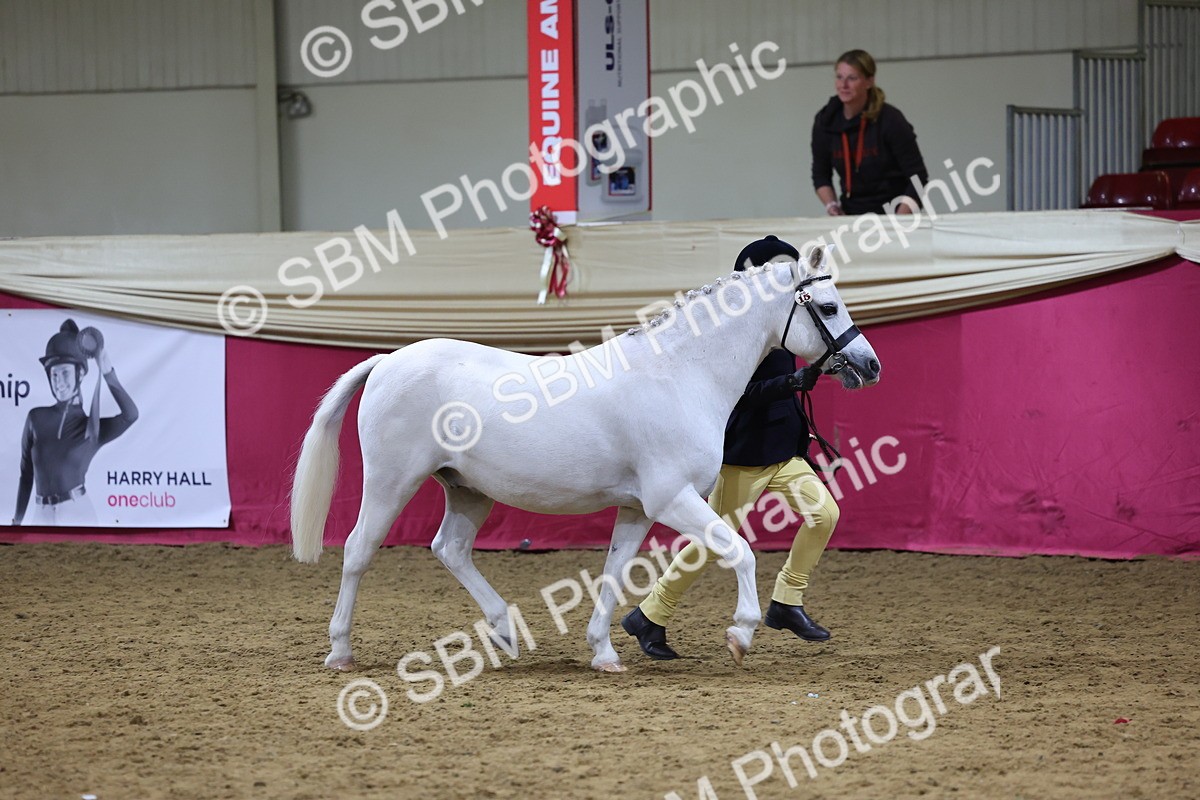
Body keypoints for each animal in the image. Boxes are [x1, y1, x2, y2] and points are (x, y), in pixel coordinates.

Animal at [290, 247, 880, 672]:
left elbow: (615, 574)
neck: (679, 374)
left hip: (467, 489)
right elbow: (739, 552)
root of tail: (387, 361)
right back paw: (340, 652)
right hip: (392, 482)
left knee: (450, 549)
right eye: (829, 306)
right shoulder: (672, 499)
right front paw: (740, 634)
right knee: (358, 551)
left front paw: (605, 654)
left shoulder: (638, 508)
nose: (869, 365)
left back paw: (504, 631)